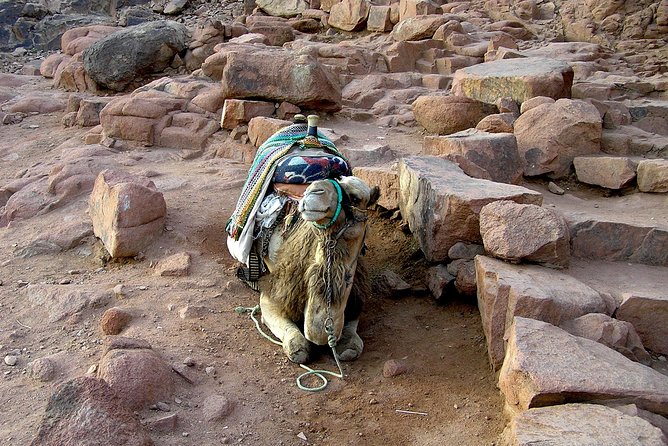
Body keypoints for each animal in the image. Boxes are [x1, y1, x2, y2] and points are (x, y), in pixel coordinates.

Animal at [258, 176, 380, 364]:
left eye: (355, 198)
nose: (313, 190)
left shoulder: (357, 299)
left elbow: (352, 346)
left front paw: (346, 344)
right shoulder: (272, 295)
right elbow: (298, 347)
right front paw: (297, 347)